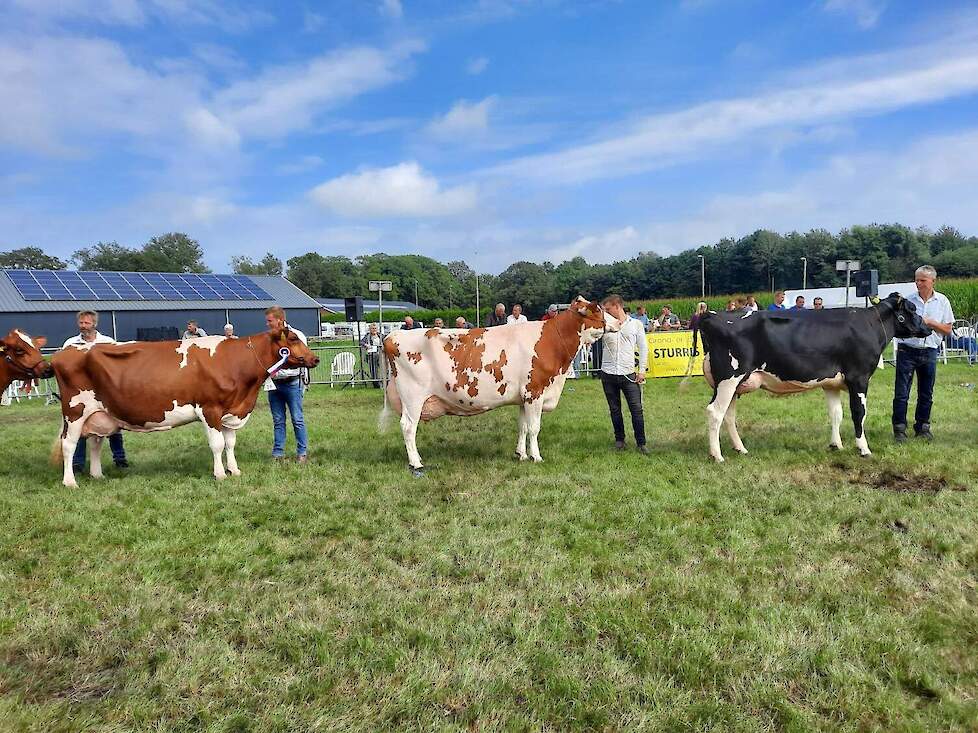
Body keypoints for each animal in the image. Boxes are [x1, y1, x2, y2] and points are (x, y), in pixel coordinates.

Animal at [51, 328, 318, 484]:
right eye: (293, 338)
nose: (314, 359)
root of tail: (63, 351)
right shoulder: (209, 409)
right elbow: (217, 444)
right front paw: (220, 474)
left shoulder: (231, 411)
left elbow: (230, 443)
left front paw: (234, 470)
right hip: (74, 412)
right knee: (69, 445)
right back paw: (70, 482)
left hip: (98, 414)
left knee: (95, 443)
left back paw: (97, 475)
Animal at [382, 296, 616, 468]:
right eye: (598, 309)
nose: (619, 321)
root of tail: (392, 336)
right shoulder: (535, 392)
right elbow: (534, 428)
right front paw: (537, 457)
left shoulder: (523, 397)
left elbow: (522, 427)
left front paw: (521, 454)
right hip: (413, 397)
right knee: (408, 426)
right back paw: (416, 463)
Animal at [692, 294, 928, 460]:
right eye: (912, 309)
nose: (927, 327)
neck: (871, 324)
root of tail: (713, 314)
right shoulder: (859, 377)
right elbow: (858, 413)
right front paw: (863, 448)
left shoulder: (831, 383)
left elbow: (836, 414)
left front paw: (836, 445)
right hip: (729, 379)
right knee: (715, 412)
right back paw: (717, 456)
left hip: (734, 384)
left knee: (728, 415)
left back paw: (740, 449)